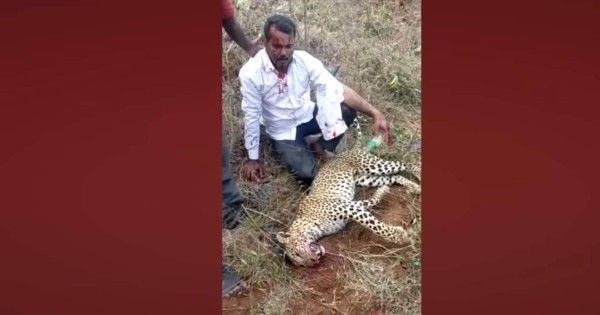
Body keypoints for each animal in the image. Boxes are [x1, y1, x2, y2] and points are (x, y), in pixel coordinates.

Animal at [274, 148, 420, 270]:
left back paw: (418, 173)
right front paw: (382, 191)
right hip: (367, 179)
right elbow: (373, 201)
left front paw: (399, 236)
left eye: (297, 253)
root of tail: (340, 153)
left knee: (403, 163)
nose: (313, 262)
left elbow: (375, 226)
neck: (310, 224)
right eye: (301, 264)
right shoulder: (354, 205)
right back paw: (414, 187)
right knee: (393, 177)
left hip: (373, 166)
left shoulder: (348, 208)